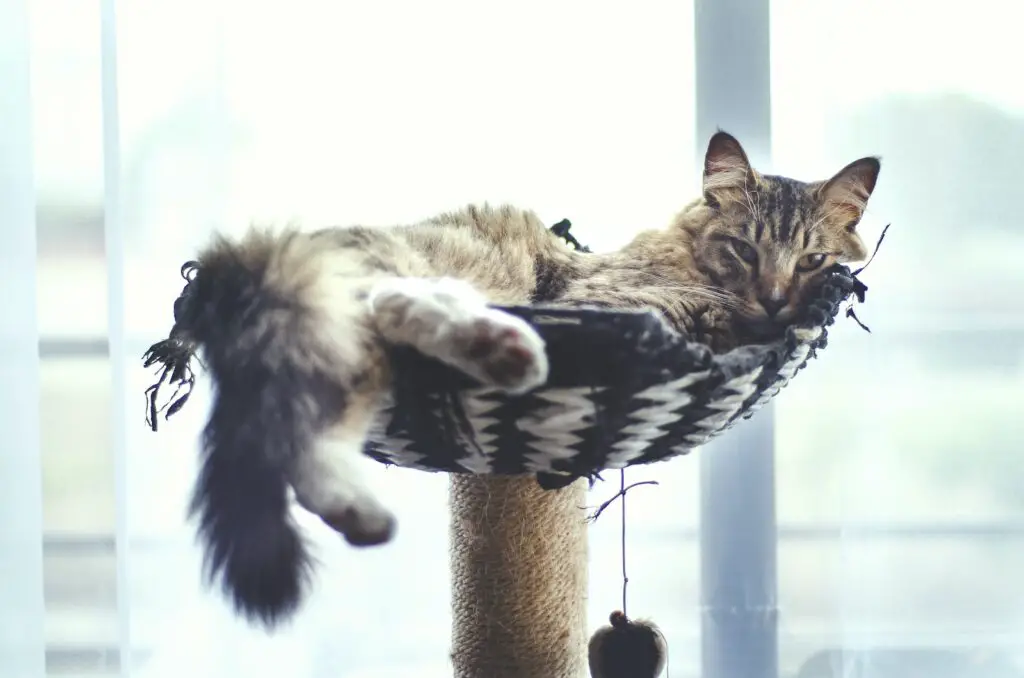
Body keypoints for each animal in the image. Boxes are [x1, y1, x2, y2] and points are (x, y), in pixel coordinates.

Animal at [176, 130, 880, 630]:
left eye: (813, 260)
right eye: (744, 249)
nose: (776, 300)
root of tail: (244, 256)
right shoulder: (612, 301)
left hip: (350, 362)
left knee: (307, 442)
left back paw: (363, 512)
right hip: (391, 281)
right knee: (391, 303)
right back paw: (507, 349)